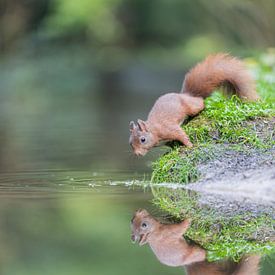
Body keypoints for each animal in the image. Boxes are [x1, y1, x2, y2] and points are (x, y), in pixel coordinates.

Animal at [129, 52, 258, 154]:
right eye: (130, 143)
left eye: (143, 139)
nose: (138, 154)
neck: (154, 130)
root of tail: (187, 95)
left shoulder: (169, 128)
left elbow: (181, 135)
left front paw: (189, 145)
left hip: (192, 106)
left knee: (200, 103)